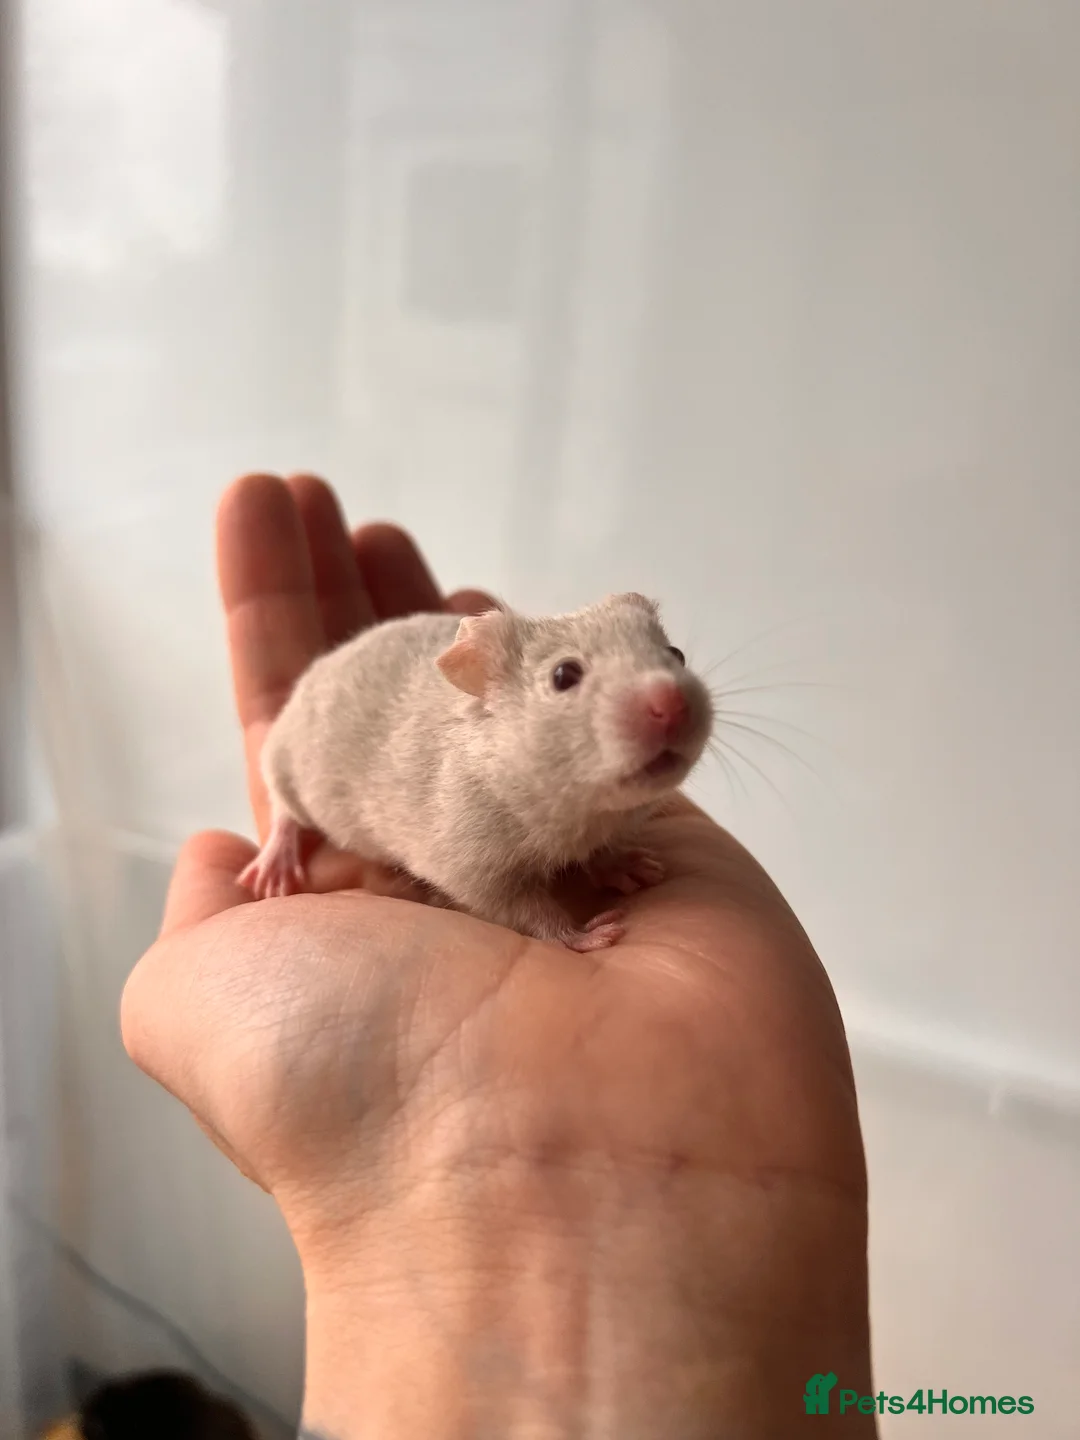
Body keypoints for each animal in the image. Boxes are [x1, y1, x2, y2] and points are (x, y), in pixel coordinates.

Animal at [238, 592, 713, 952]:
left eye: (676, 654)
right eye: (564, 675)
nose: (674, 705)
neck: (580, 808)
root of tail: (320, 665)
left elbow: (603, 853)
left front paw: (630, 866)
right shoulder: (470, 862)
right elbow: (526, 908)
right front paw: (583, 935)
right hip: (287, 767)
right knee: (284, 810)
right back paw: (275, 863)